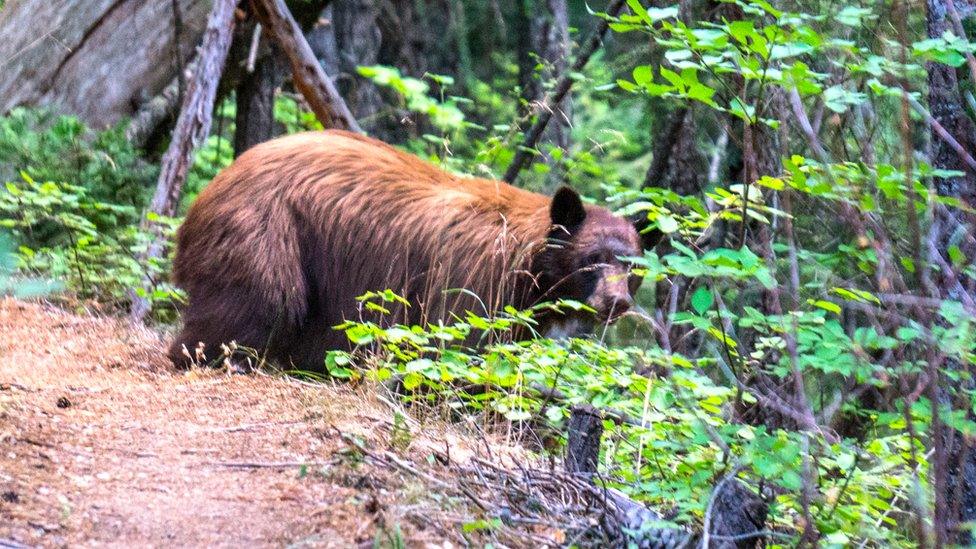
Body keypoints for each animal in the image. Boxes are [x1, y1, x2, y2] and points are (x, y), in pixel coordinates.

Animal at [170, 131, 656, 368]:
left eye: (631, 265)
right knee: (260, 300)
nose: (617, 301)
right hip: (266, 230)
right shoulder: (474, 278)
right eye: (593, 259)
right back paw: (210, 355)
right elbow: (460, 341)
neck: (528, 263)